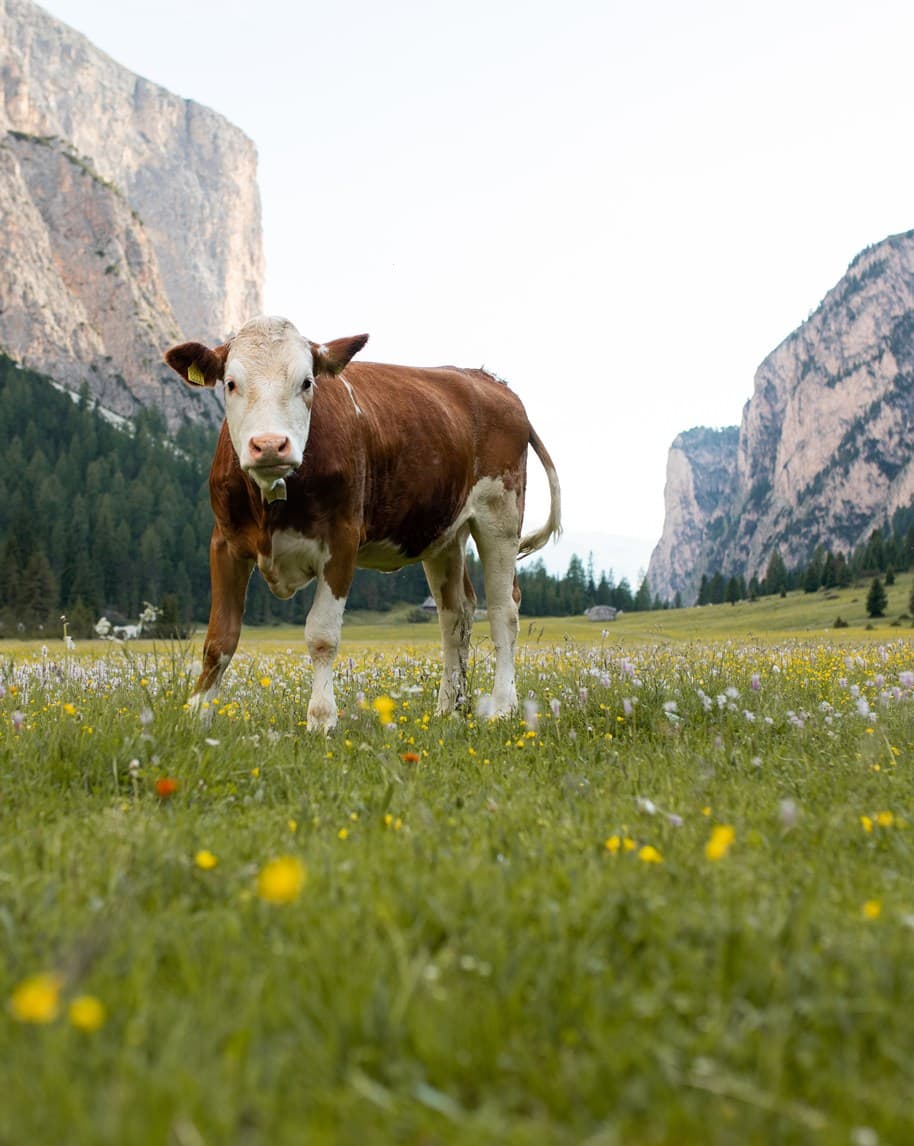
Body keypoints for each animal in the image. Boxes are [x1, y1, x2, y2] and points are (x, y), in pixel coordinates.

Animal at [164, 316, 561, 732]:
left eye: (307, 382)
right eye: (230, 383)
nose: (270, 445)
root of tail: (489, 380)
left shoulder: (341, 542)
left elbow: (321, 635)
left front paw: (321, 719)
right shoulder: (225, 543)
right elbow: (219, 639)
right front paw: (196, 715)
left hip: (500, 514)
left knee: (504, 611)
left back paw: (502, 707)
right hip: (444, 534)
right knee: (457, 613)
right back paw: (449, 708)